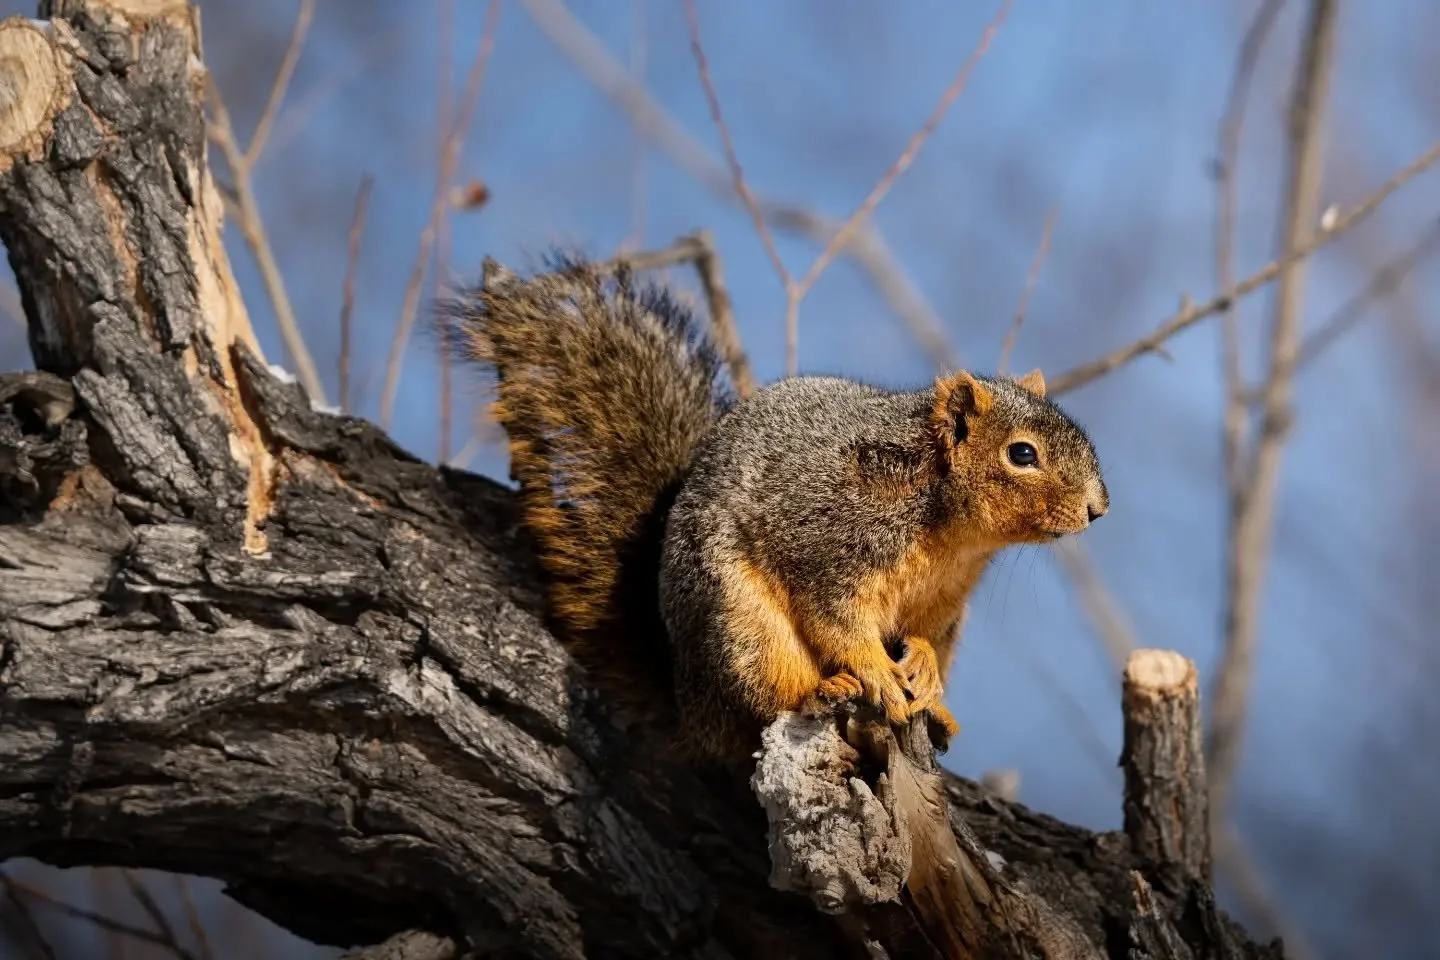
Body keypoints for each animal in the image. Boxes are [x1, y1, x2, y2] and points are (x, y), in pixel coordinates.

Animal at [447, 255, 1108, 771]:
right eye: (1021, 454)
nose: (1098, 509)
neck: (950, 532)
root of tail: (687, 705)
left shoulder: (945, 602)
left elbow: (927, 637)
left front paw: (922, 669)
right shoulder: (829, 543)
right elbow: (837, 622)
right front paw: (879, 674)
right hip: (739, 625)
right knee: (761, 701)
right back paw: (823, 688)